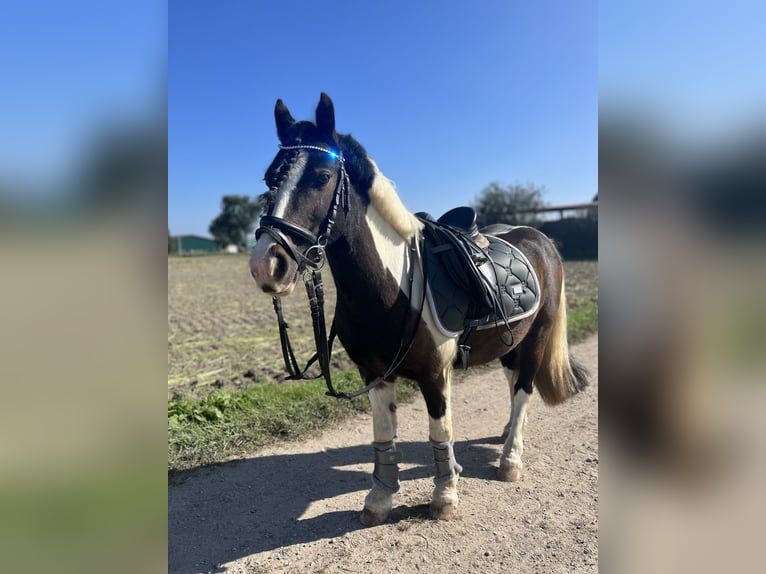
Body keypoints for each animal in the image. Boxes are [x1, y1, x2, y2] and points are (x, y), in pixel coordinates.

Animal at [250, 93, 588, 528]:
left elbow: (439, 432)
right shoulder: (374, 374)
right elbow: (383, 435)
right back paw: (506, 434)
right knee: (513, 382)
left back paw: (511, 458)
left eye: (322, 177)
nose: (266, 264)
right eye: (269, 180)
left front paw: (445, 496)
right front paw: (379, 499)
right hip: (511, 339)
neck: (393, 286)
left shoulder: (434, 373)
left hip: (538, 336)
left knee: (524, 389)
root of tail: (540, 237)